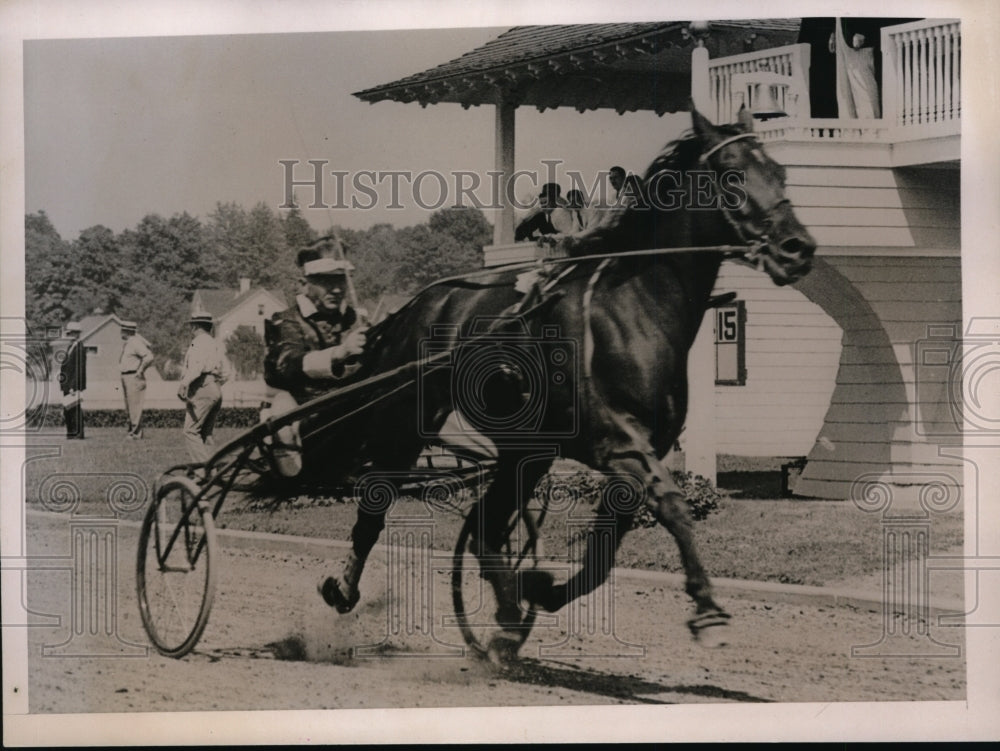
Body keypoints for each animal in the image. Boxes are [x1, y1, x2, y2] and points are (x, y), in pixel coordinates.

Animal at [316, 108, 816, 660]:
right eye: (731, 174)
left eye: (780, 172)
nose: (798, 248)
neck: (635, 309)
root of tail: (416, 304)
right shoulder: (618, 444)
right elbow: (671, 506)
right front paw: (708, 610)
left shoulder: (636, 453)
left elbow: (601, 555)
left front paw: (538, 588)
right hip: (405, 424)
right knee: (376, 504)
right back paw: (344, 589)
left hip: (527, 451)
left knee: (486, 527)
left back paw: (506, 614)